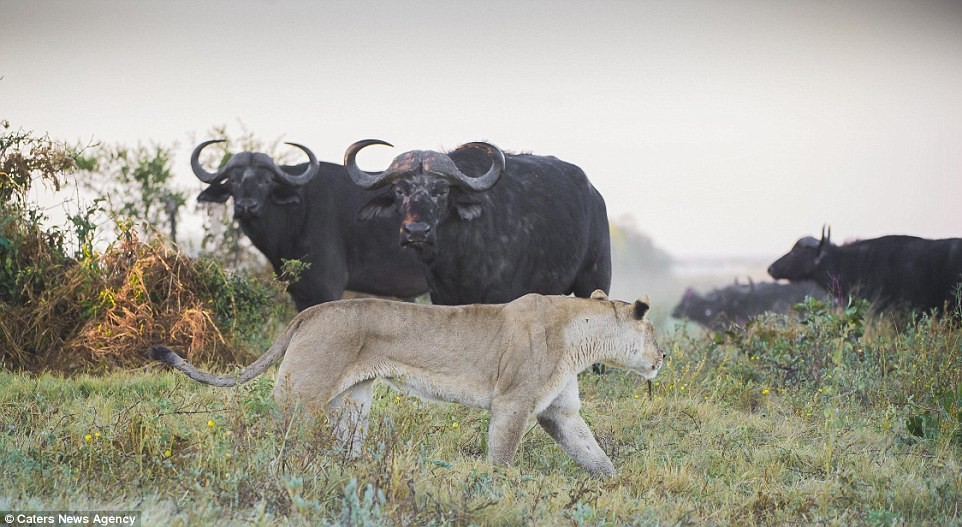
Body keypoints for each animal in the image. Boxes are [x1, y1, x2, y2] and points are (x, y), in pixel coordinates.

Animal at [189, 141, 426, 314]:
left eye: (266, 181)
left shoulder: (327, 288)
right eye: (233, 181)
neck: (296, 214)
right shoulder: (300, 293)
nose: (246, 206)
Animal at [340, 140, 608, 306]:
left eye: (441, 191)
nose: (416, 231)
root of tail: (596, 197)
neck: (457, 257)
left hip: (594, 280)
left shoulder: (500, 296)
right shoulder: (441, 296)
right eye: (399, 190)